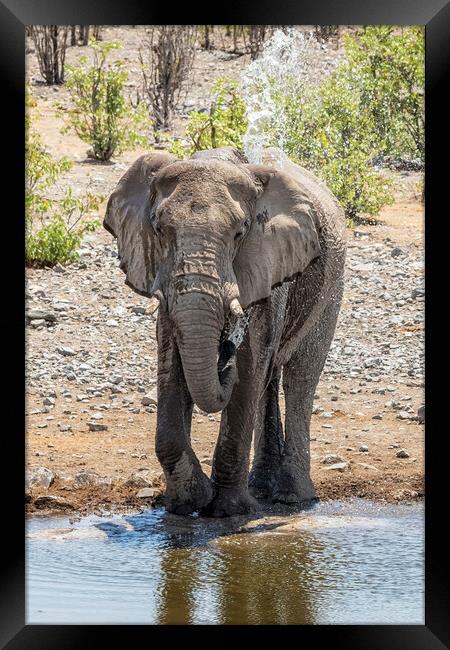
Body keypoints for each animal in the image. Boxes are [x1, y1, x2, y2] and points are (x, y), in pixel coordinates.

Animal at [103, 146, 346, 516]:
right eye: (159, 229)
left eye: (240, 232)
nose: (225, 354)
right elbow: (172, 365)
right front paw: (186, 502)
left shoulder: (266, 266)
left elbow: (248, 369)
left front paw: (225, 510)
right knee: (269, 381)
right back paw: (261, 488)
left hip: (332, 286)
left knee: (298, 379)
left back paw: (292, 497)